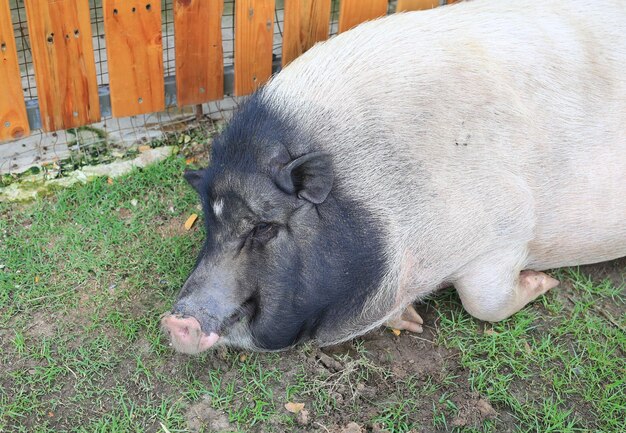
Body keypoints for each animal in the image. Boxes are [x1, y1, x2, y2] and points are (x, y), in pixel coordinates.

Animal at [160, 0, 624, 352]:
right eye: (210, 222)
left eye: (263, 227)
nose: (176, 321)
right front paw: (413, 321)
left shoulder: (506, 227)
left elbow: (483, 302)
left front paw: (544, 282)